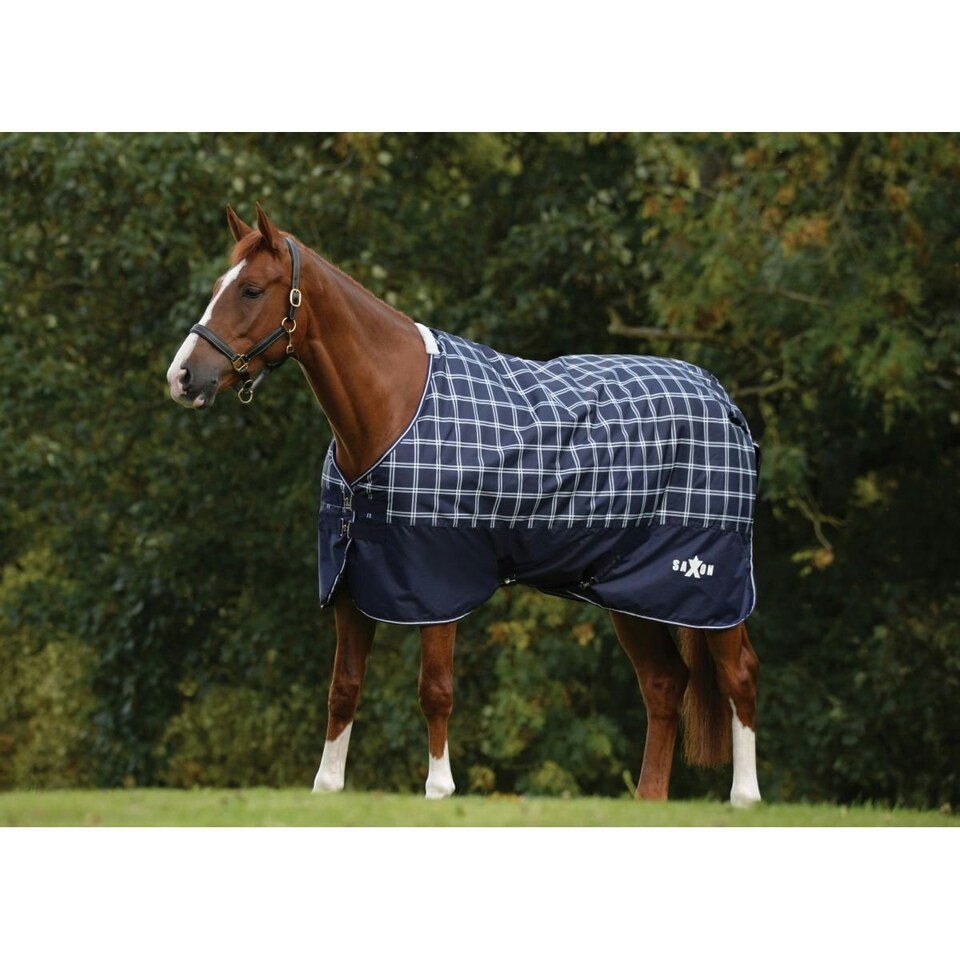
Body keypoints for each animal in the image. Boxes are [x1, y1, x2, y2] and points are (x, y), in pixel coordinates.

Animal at [167, 203, 762, 806]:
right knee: (664, 683)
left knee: (739, 674)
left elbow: (435, 689)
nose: (182, 377)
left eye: (251, 290)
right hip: (631, 589)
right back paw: (649, 800)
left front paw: (439, 790)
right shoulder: (351, 580)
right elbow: (343, 688)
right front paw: (327, 788)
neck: (394, 406)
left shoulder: (437, 580)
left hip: (711, 582)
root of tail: (723, 402)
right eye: (217, 287)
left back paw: (745, 799)